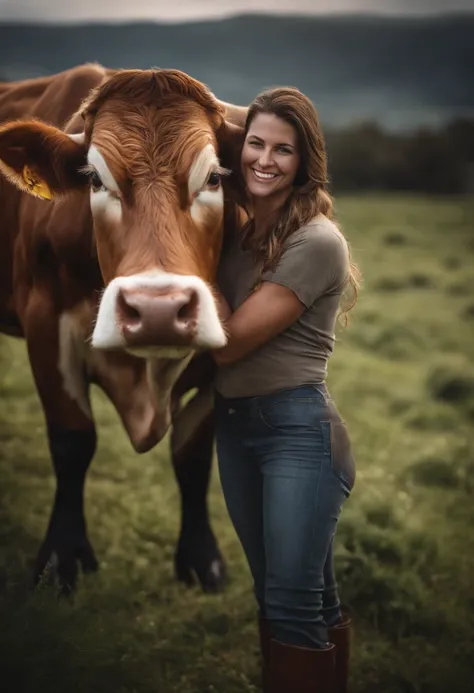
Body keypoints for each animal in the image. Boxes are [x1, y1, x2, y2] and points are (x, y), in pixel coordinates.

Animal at [0, 63, 244, 596]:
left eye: (215, 177)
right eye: (93, 178)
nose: (157, 310)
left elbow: (193, 455)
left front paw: (201, 558)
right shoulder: (45, 323)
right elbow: (73, 441)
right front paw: (62, 559)